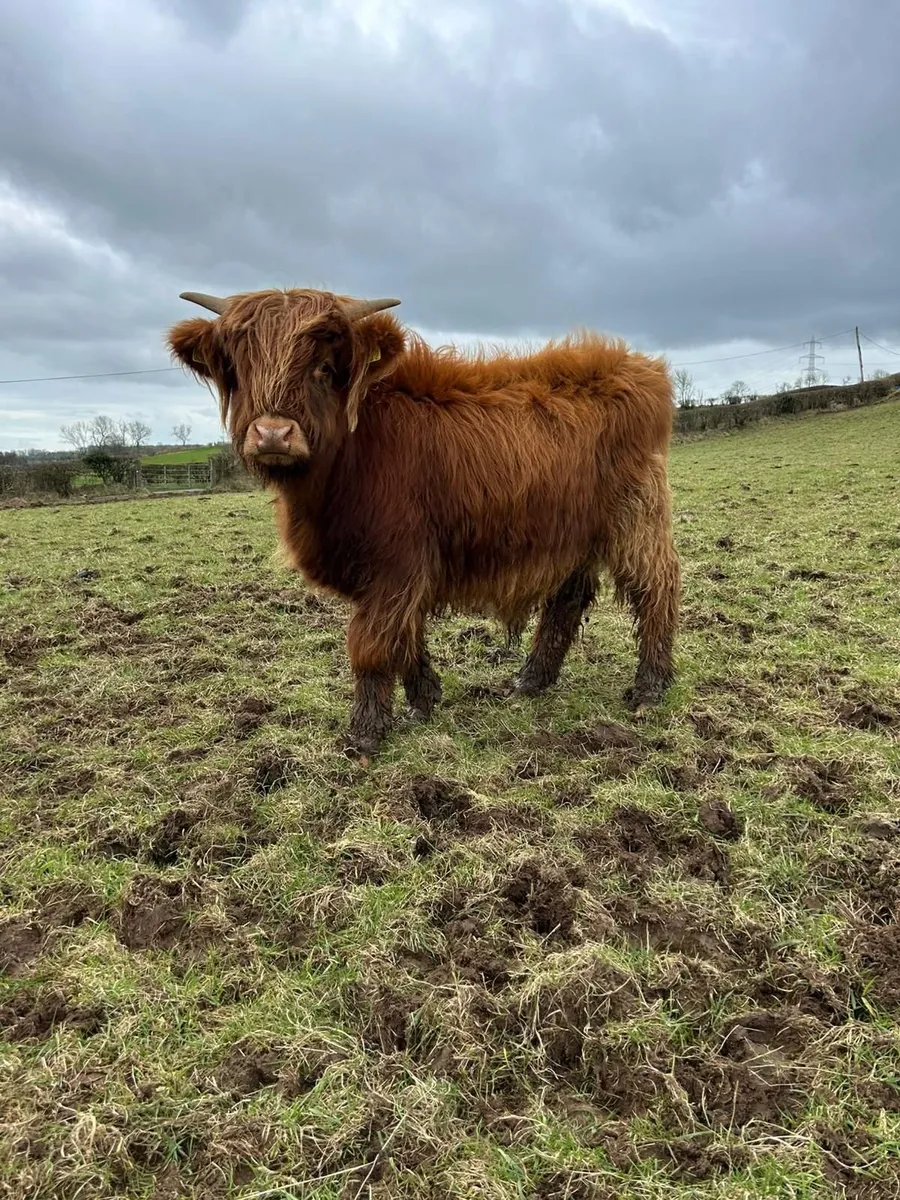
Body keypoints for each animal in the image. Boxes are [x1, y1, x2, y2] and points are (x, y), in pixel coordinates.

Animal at [168, 288, 681, 758]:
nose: (273, 434)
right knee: (568, 599)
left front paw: (365, 733)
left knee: (656, 586)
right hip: (573, 531)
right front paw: (424, 700)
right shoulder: (404, 571)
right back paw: (531, 680)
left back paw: (650, 688)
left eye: (324, 369)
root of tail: (635, 366)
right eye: (240, 368)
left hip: (636, 515)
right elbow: (407, 634)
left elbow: (372, 645)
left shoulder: (396, 562)